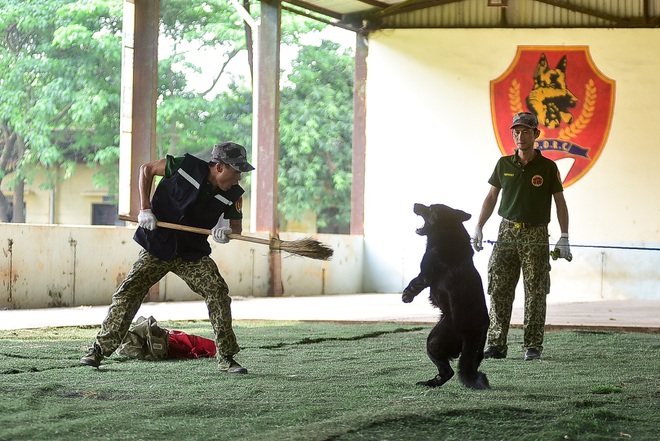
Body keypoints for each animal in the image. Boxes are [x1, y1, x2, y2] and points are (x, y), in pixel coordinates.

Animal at [402, 203, 490, 388]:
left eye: (429, 208)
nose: (415, 204)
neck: (447, 233)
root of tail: (471, 334)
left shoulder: (426, 273)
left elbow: (416, 282)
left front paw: (407, 295)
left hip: (434, 341)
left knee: (448, 370)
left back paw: (431, 383)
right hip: (476, 351)